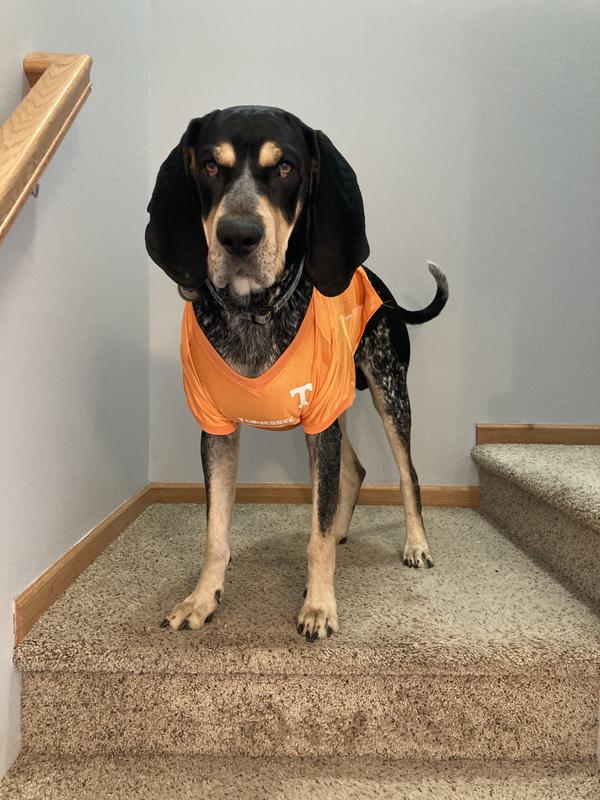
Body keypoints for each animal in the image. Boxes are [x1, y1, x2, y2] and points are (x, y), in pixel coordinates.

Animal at [145, 106, 446, 644]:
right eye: (210, 166)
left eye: (285, 167)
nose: (238, 236)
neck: (252, 313)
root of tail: (383, 287)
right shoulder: (217, 430)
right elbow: (215, 533)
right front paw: (202, 599)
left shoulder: (322, 424)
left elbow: (316, 534)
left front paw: (320, 605)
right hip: (337, 410)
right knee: (354, 471)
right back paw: (346, 529)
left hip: (389, 395)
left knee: (407, 474)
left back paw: (415, 545)